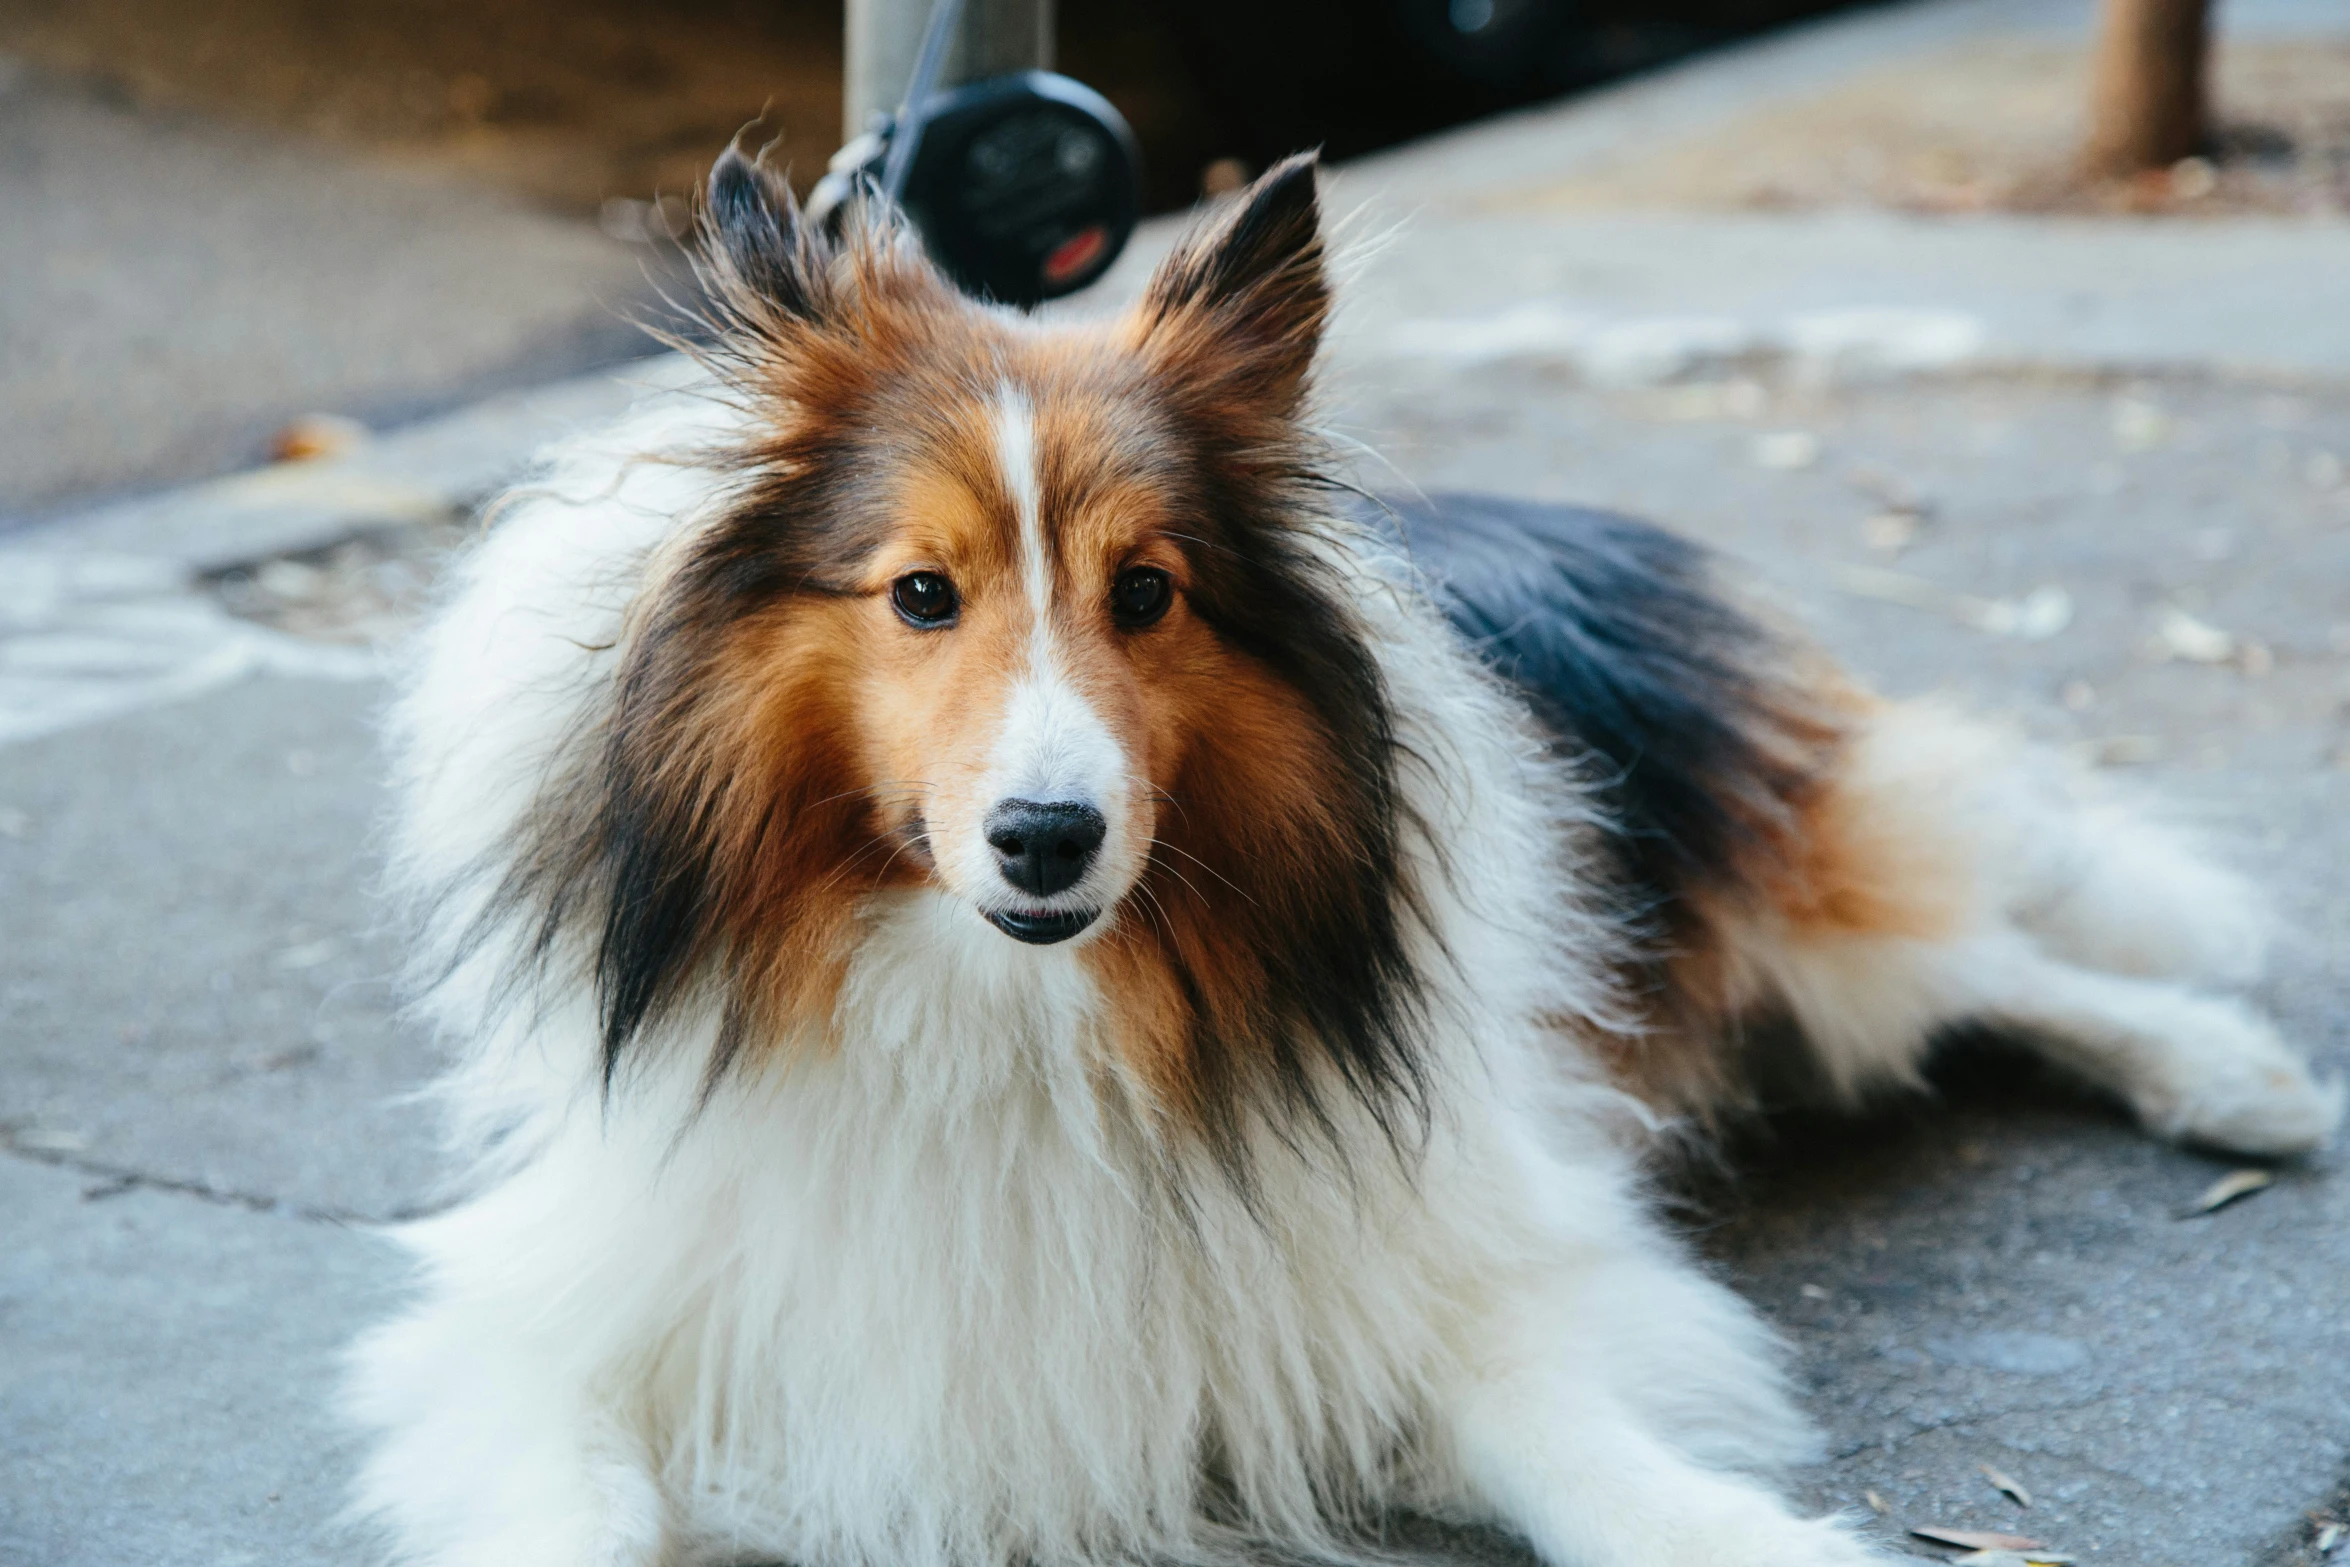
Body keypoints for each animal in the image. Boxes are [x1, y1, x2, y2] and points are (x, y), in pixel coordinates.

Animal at [352, 156, 2350, 1567]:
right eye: (920, 591)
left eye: (1146, 591)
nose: (1049, 836)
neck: (1011, 1008)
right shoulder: (565, 1302)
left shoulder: (1455, 1241)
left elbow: (1579, 1445)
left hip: (1797, 907)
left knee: (1982, 951)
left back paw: (2223, 1069)